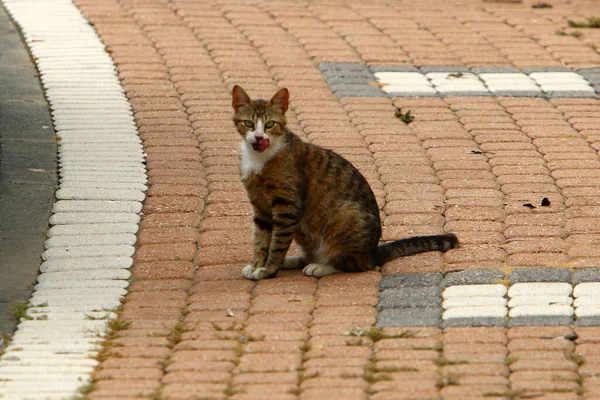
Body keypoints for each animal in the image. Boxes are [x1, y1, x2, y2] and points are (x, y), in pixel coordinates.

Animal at [231, 84, 460, 280]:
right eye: (249, 123)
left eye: (270, 124)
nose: (258, 137)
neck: (260, 158)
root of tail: (372, 252)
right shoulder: (260, 207)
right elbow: (261, 240)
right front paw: (257, 264)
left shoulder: (287, 206)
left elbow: (277, 243)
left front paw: (268, 269)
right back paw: (295, 260)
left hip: (345, 217)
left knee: (354, 264)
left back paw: (320, 266)